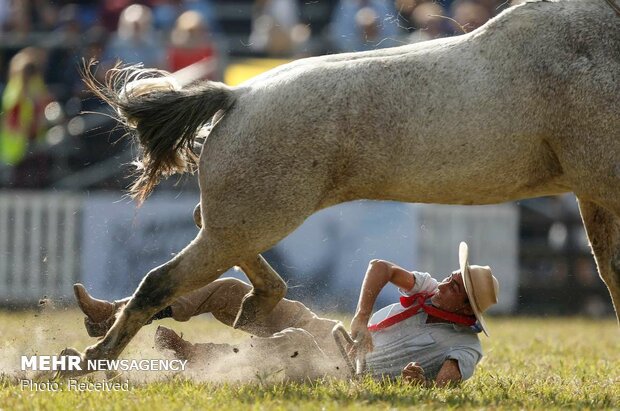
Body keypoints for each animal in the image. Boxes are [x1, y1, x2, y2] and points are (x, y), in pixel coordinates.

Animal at [69, 0, 620, 372]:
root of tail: (238, 95)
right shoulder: (602, 187)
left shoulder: (593, 197)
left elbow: (611, 275)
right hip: (255, 219)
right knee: (162, 279)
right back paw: (93, 358)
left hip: (246, 221)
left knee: (210, 248)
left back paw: (251, 304)